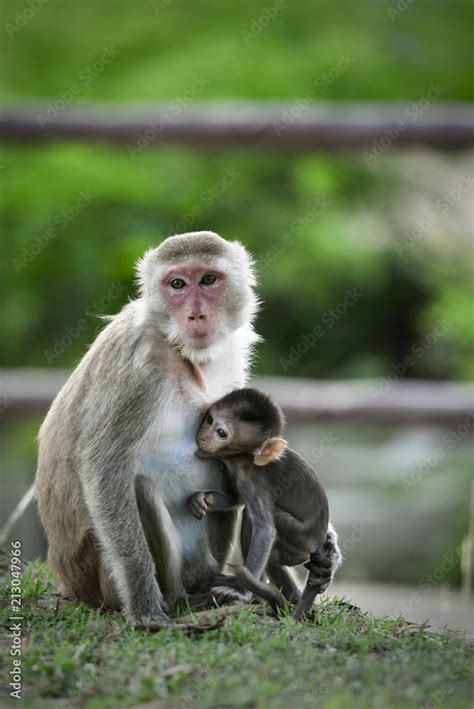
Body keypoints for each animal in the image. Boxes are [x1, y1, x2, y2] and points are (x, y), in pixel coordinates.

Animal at [190, 388, 334, 612]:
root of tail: (317, 543)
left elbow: (265, 530)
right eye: (209, 419)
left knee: (253, 520)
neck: (241, 459)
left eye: (221, 433)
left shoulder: (252, 480)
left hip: (299, 540)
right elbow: (235, 499)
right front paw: (202, 500)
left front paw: (241, 593)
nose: (202, 436)